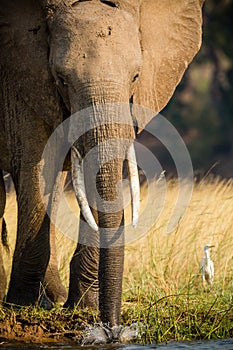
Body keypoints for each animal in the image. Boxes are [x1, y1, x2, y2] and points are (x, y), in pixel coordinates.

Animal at [0, 0, 204, 328]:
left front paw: (83, 305)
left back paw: (54, 298)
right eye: (61, 79)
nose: (111, 327)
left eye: (136, 76)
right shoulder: (25, 81)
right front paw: (21, 305)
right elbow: (36, 168)